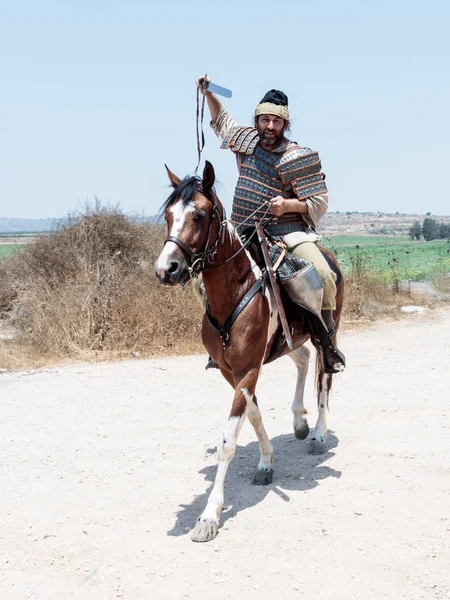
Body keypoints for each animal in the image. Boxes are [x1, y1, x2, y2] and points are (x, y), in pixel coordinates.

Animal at [155, 161, 344, 544]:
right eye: (168, 215)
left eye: (199, 215)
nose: (166, 269)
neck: (234, 291)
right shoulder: (234, 372)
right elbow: (253, 416)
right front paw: (266, 462)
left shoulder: (248, 370)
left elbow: (228, 439)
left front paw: (208, 516)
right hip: (289, 341)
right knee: (304, 361)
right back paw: (299, 422)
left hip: (327, 335)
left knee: (324, 378)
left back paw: (318, 433)